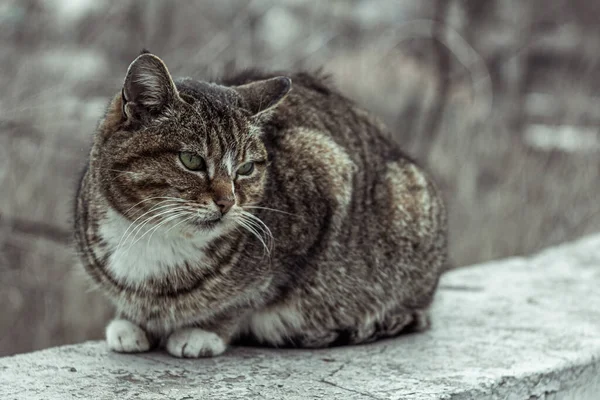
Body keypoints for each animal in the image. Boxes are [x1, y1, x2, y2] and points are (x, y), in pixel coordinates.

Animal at [72, 48, 448, 358]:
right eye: (191, 161)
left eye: (246, 168)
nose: (227, 202)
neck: (155, 237)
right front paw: (129, 321)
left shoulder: (325, 176)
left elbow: (246, 298)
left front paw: (202, 332)